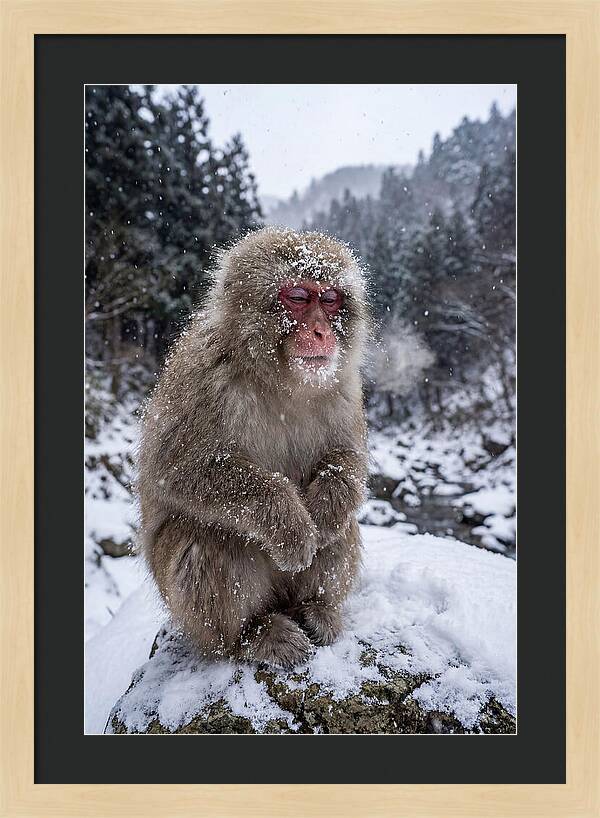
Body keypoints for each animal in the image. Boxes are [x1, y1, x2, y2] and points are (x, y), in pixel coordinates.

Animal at [137, 227, 370, 668]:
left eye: (330, 298)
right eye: (297, 296)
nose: (321, 331)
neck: (280, 380)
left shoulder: (345, 386)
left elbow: (347, 458)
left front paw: (325, 511)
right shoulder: (202, 377)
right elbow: (177, 470)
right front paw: (292, 526)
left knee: (343, 527)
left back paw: (317, 609)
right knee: (207, 536)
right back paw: (251, 635)